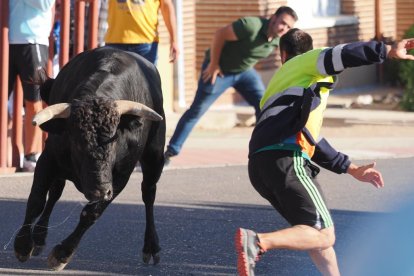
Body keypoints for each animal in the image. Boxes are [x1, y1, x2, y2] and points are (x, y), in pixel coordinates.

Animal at [14, 47, 167, 270]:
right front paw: (23, 245)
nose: (99, 190)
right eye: (77, 143)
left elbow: (90, 213)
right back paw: (40, 238)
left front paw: (62, 254)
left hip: (154, 157)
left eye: (114, 140)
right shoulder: (48, 159)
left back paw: (151, 247)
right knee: (55, 192)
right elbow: (36, 199)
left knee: (149, 194)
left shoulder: (120, 177)